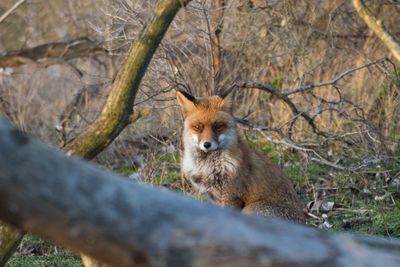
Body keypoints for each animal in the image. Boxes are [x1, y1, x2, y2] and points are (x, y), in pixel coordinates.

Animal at [177, 90, 304, 224]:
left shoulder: (231, 197)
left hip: (249, 210)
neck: (208, 167)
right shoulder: (213, 196)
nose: (207, 144)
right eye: (198, 127)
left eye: (218, 126)